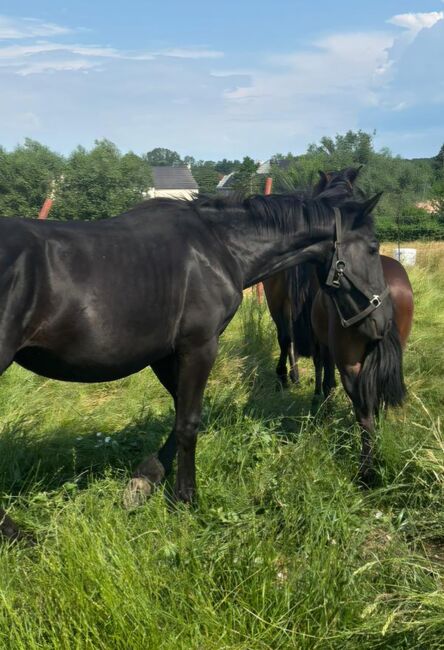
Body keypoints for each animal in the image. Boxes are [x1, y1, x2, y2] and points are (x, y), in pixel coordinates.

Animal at [0, 189, 391, 542]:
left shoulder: (166, 353)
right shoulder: (199, 346)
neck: (218, 247)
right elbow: (189, 422)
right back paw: (17, 534)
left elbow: (180, 416)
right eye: (373, 247)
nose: (382, 322)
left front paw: (145, 479)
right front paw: (185, 499)